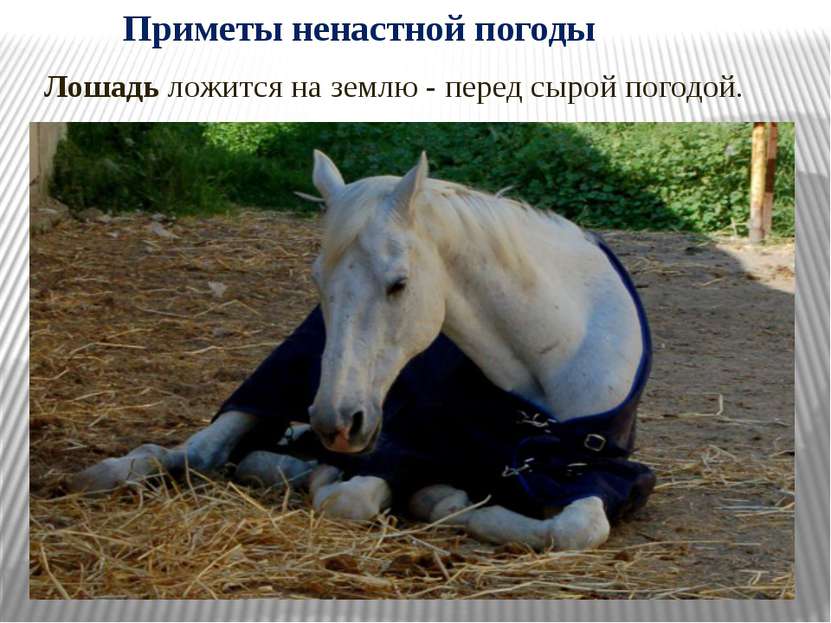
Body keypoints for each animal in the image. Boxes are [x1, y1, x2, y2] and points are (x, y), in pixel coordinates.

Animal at [69, 150, 654, 551]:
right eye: (317, 282)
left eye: (399, 284)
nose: (336, 421)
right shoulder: (401, 445)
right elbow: (351, 498)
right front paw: (434, 497)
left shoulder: (592, 471)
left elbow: (578, 528)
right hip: (278, 385)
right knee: (202, 450)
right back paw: (114, 471)